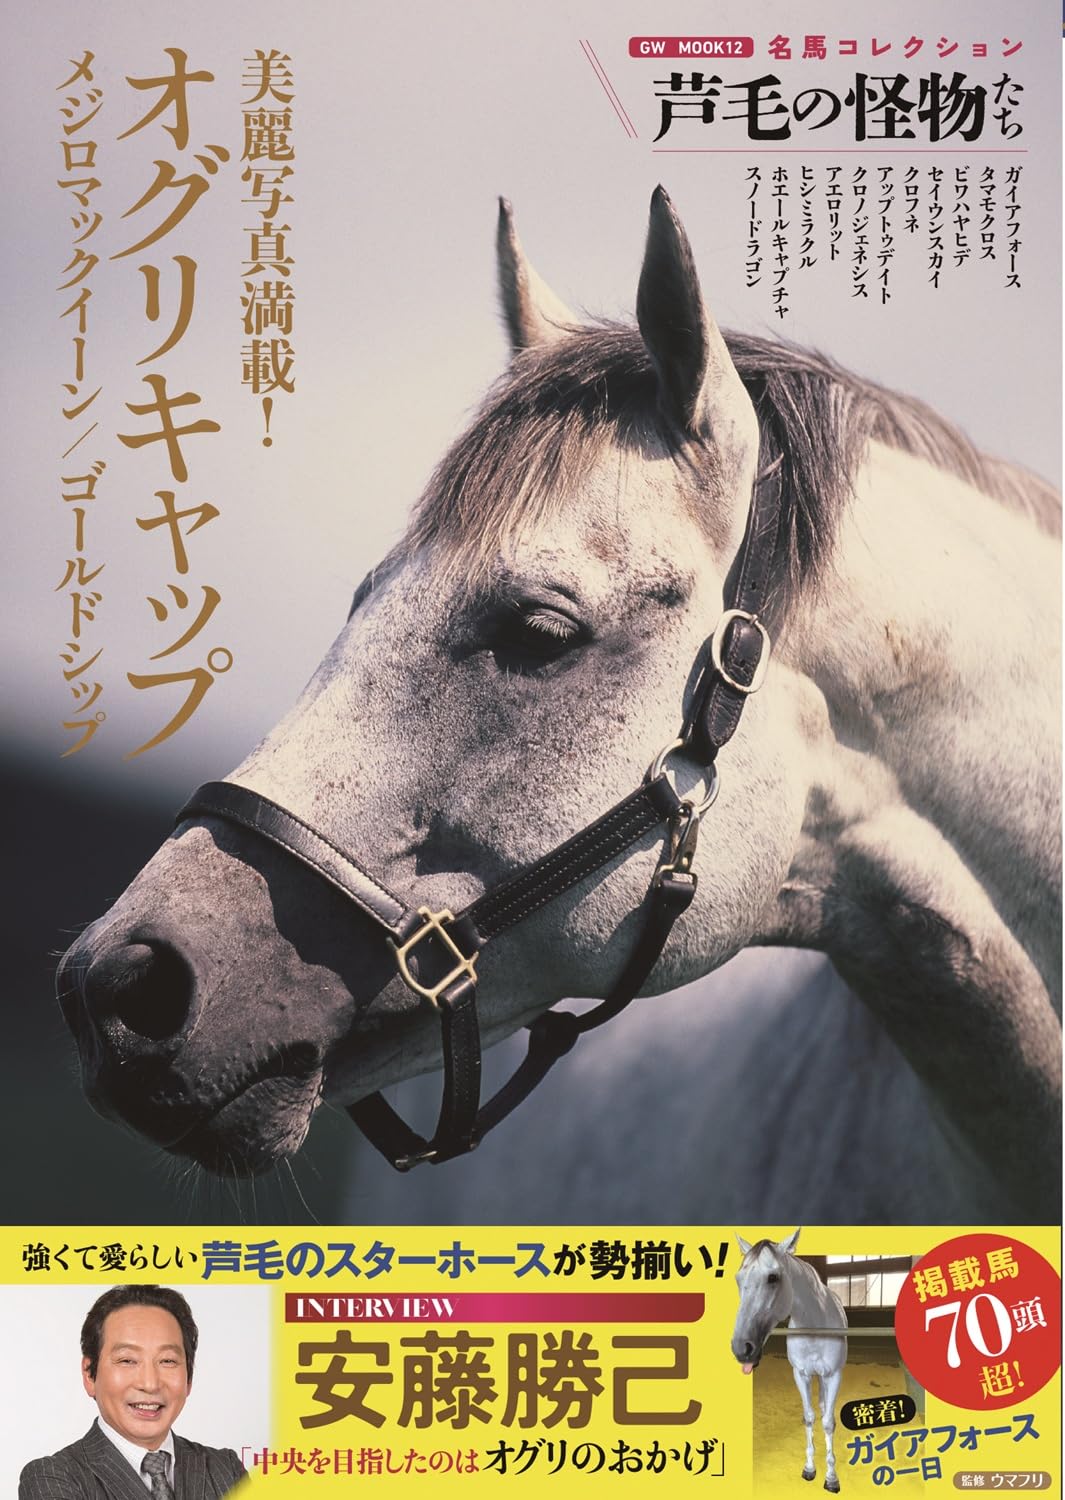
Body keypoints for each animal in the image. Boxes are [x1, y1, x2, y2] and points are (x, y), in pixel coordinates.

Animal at [731, 1229, 847, 1492]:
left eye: (773, 1277)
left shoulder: (833, 1375)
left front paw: (831, 1478)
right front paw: (810, 1469)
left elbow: (828, 1422)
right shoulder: (801, 1374)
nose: (741, 1349)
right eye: (738, 1279)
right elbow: (809, 1418)